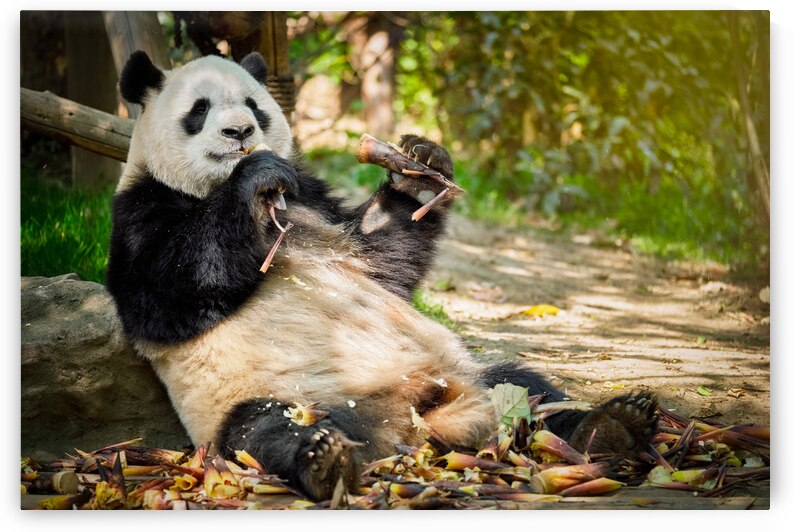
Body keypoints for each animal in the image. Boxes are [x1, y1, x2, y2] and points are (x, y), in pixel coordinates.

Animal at [106, 50, 658, 501]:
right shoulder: (138, 214)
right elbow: (171, 294)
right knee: (263, 430)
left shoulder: (314, 204)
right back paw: (324, 459)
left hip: (465, 374)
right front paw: (255, 177)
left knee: (529, 387)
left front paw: (419, 166)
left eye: (253, 105)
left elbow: (383, 258)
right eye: (199, 110)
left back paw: (613, 426)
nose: (240, 132)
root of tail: (410, 421)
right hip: (265, 398)